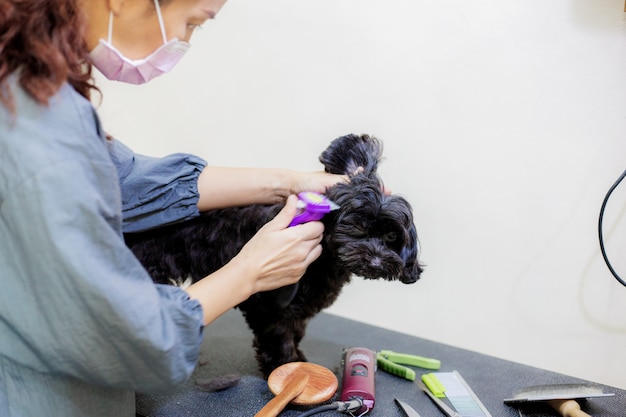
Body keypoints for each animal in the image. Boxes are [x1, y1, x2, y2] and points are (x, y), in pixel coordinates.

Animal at [124, 134, 422, 376]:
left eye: (392, 237)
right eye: (358, 226)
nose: (377, 261)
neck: (326, 262)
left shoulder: (299, 310)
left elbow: (296, 332)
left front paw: (298, 359)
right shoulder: (268, 307)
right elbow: (279, 338)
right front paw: (286, 369)